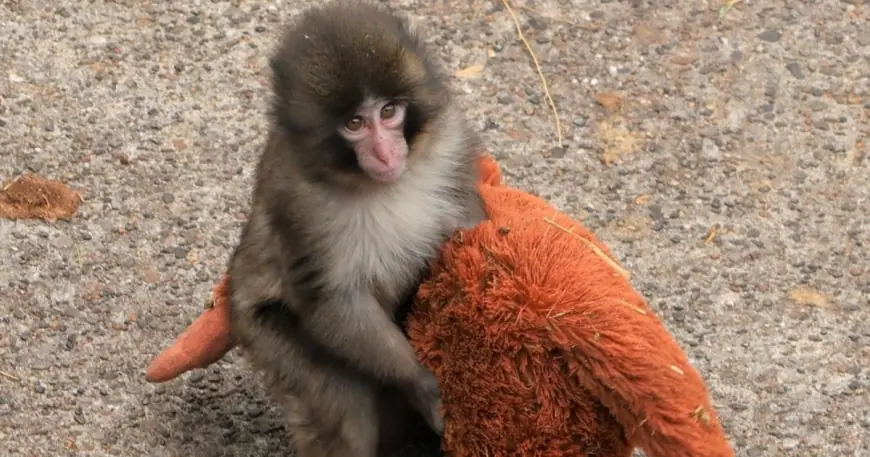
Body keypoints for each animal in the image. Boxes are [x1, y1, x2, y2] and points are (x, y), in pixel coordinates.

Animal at [224, 1, 487, 456]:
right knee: (343, 407)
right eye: (354, 124)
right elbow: (333, 300)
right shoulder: (299, 204)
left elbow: (468, 223)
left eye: (388, 112)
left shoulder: (449, 141)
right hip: (265, 333)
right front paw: (420, 384)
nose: (384, 153)